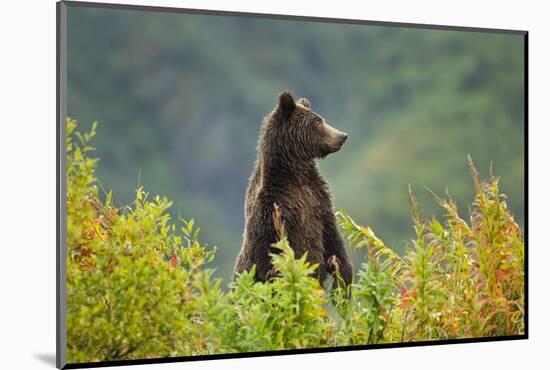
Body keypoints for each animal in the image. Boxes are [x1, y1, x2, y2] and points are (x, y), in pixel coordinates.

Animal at [233, 91, 354, 288]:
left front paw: (343, 279)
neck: (294, 174)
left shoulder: (318, 199)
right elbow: (270, 251)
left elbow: (333, 239)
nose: (342, 135)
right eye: (317, 122)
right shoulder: (274, 208)